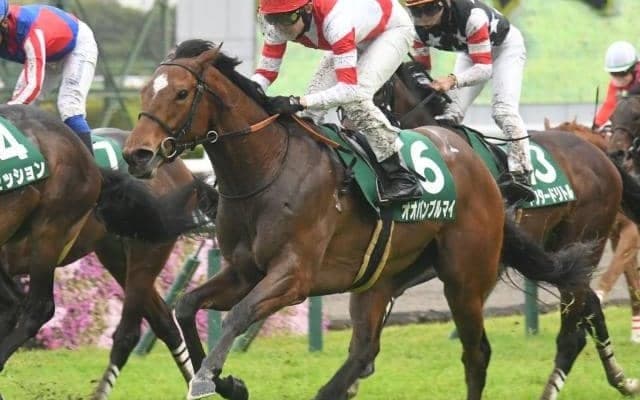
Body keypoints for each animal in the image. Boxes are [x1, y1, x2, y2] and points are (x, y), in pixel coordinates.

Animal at [121, 39, 594, 400]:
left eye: (182, 93)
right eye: (144, 92)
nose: (136, 155)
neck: (268, 167)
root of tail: (482, 173)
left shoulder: (294, 275)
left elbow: (240, 314)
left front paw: (207, 379)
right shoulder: (244, 270)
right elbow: (187, 305)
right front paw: (230, 383)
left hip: (465, 275)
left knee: (477, 352)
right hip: (378, 277)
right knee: (365, 349)